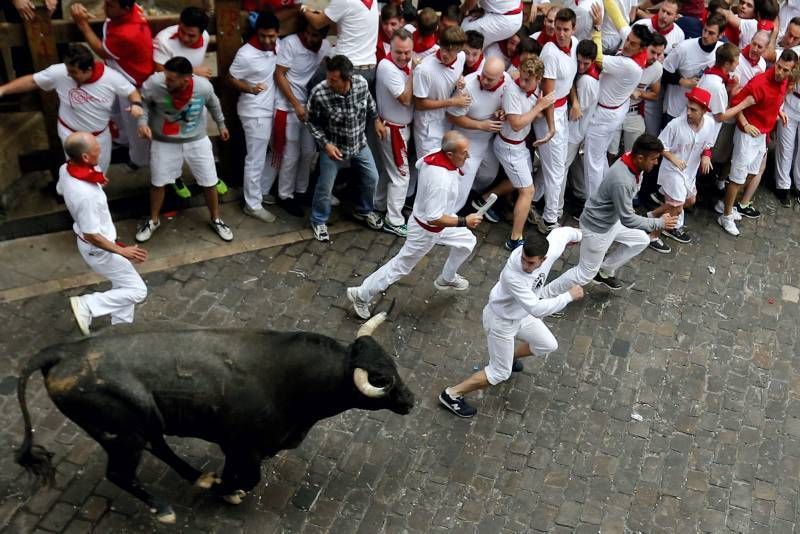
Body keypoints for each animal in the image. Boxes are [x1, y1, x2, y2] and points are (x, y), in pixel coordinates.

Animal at [15, 312, 416, 524]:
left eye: (392, 366)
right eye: (381, 378)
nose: (410, 400)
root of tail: (63, 352)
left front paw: (220, 485)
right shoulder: (241, 445)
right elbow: (248, 478)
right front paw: (227, 490)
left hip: (142, 424)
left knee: (159, 447)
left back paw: (199, 477)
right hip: (120, 433)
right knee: (120, 473)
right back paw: (165, 509)